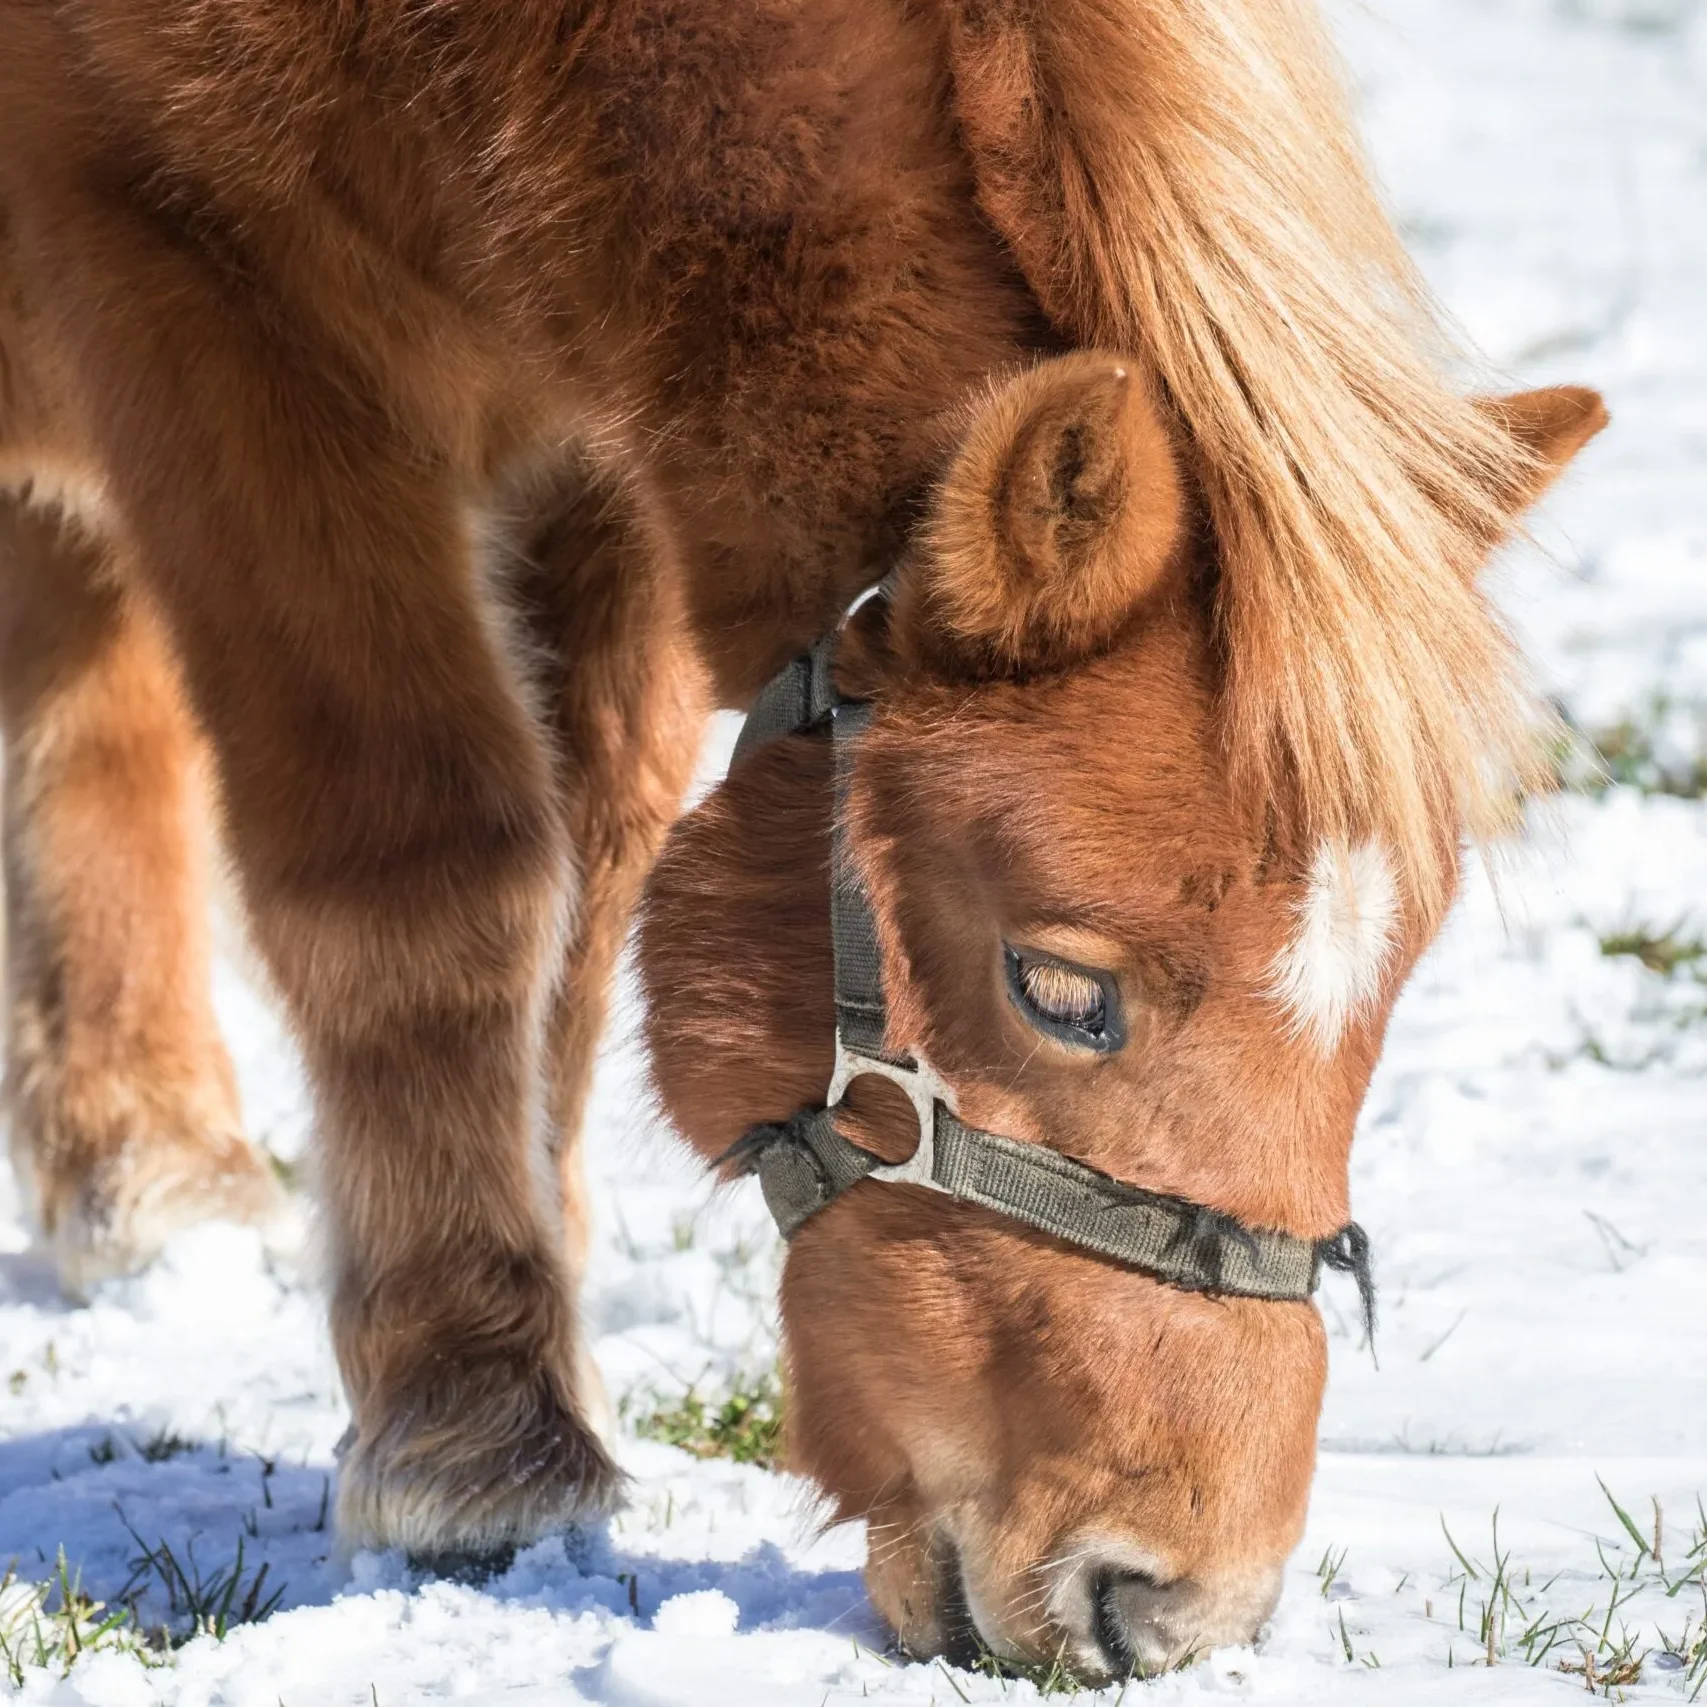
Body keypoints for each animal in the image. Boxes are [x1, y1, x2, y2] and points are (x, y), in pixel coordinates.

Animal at [0, 0, 1597, 1679]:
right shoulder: (194, 282)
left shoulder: (601, 423)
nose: (1173, 1603)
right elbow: (425, 866)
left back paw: (141, 1158)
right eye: (1060, 988)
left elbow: (595, 865)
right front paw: (474, 1426)